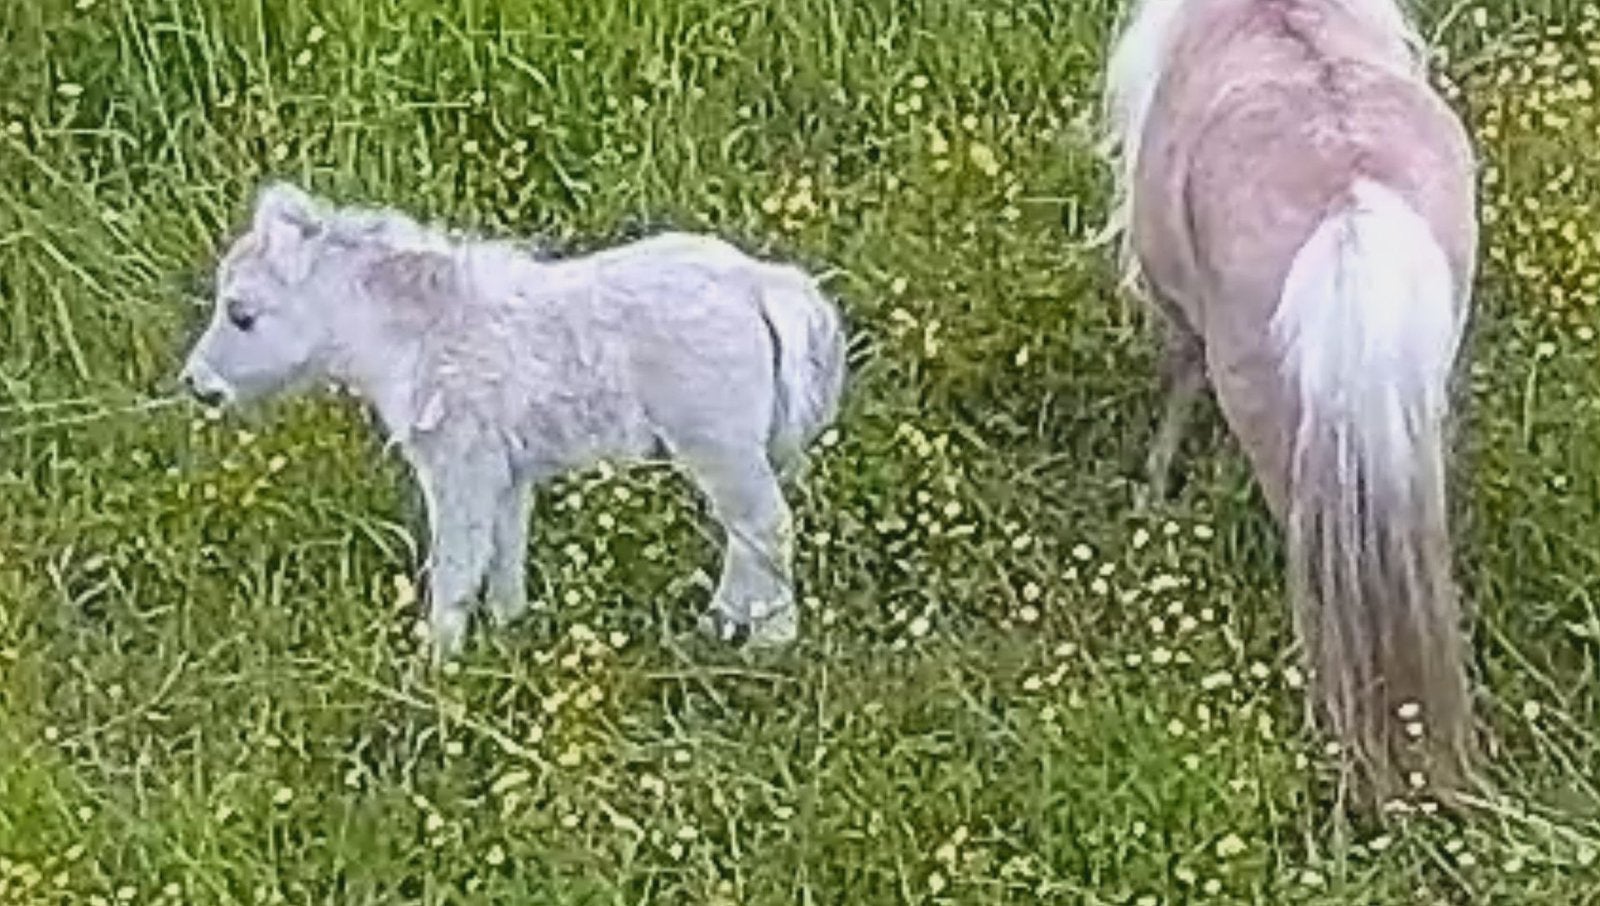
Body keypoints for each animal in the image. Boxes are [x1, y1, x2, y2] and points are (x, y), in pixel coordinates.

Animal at [180, 182, 846, 660]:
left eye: (241, 314)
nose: (197, 384)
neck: (423, 332)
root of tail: (760, 281)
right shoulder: (509, 472)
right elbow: (503, 552)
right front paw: (509, 633)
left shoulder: (459, 467)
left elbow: (456, 565)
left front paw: (436, 668)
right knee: (745, 529)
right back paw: (720, 622)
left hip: (716, 441)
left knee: (765, 524)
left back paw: (769, 639)